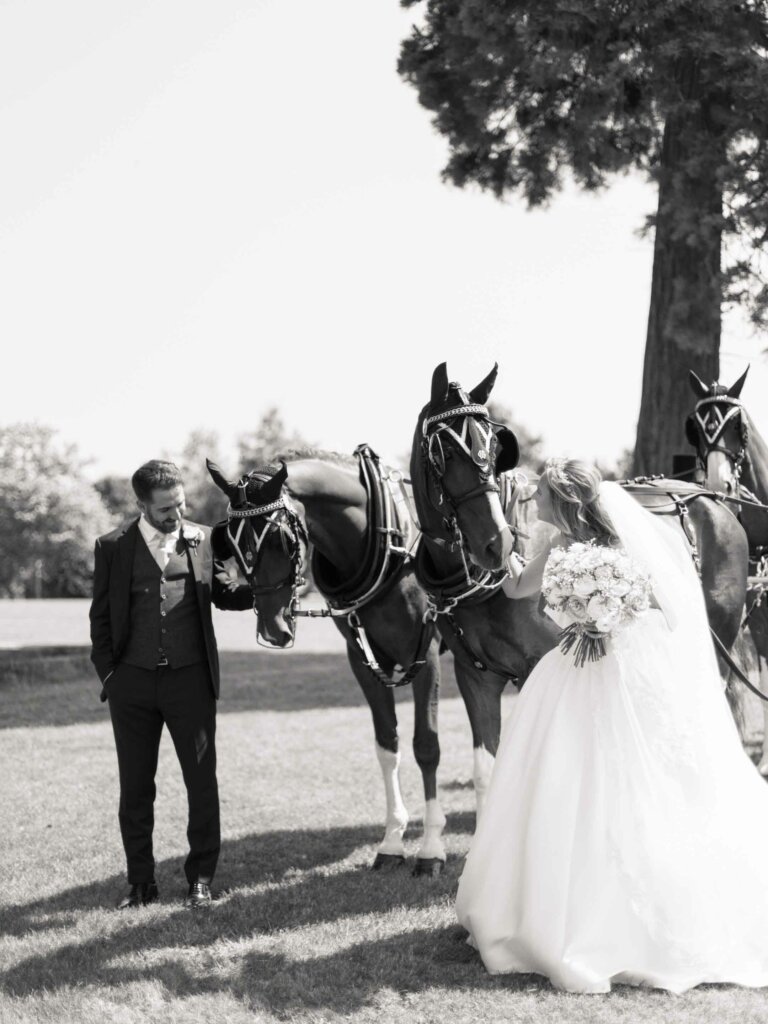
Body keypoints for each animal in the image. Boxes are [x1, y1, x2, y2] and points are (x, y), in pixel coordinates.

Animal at [205, 448, 450, 872]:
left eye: (283, 540)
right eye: (232, 544)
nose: (272, 629)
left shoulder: (427, 655)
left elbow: (426, 746)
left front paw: (431, 847)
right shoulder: (362, 660)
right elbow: (387, 744)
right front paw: (392, 840)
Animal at [411, 360, 753, 798]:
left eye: (495, 448)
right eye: (447, 452)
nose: (497, 543)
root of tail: (712, 499)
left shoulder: (537, 663)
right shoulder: (474, 676)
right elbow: (487, 775)